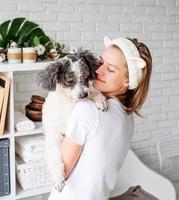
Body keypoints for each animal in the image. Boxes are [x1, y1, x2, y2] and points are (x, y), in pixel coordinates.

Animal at [35, 49, 107, 191]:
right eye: (69, 81)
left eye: (85, 77)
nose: (83, 95)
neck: (69, 101)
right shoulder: (54, 136)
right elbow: (55, 157)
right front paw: (59, 179)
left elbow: (93, 91)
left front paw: (100, 100)